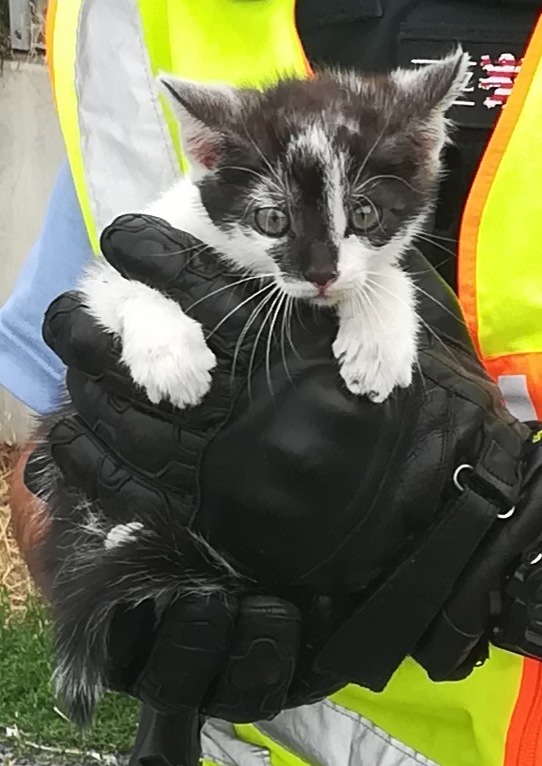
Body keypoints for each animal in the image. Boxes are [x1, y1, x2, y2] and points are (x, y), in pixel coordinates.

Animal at [78, 51, 470, 412]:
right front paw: (172, 357)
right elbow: (115, 280)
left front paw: (376, 347)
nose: (321, 274)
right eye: (272, 220)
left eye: (363, 214)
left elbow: (384, 275)